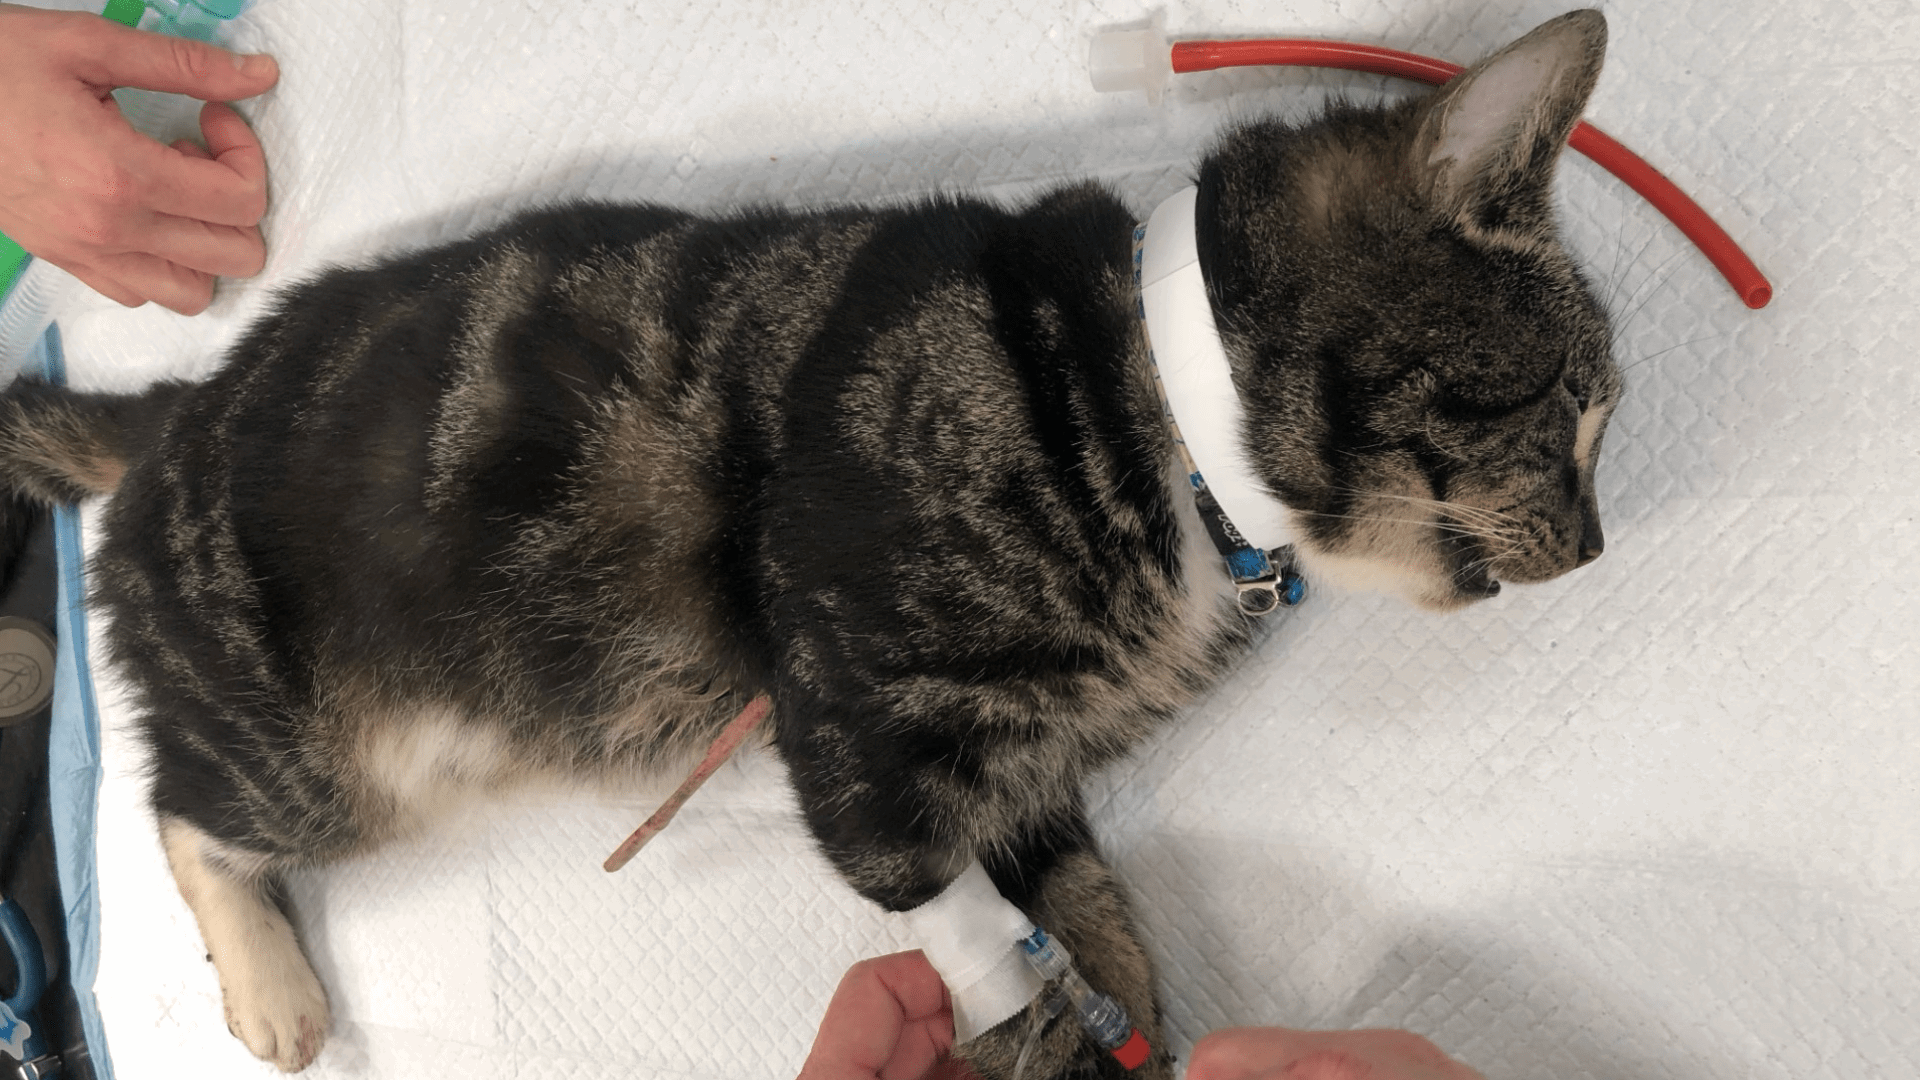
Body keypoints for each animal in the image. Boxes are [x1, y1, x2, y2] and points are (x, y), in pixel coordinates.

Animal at [0, 9, 1618, 1078]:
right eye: (1569, 406)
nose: (1603, 542)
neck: (1160, 430)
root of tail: (166, 418)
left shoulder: (1017, 764)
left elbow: (1074, 890)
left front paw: (1128, 988)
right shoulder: (852, 732)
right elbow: (990, 953)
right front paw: (1063, 1032)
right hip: (329, 760)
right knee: (179, 811)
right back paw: (273, 987)